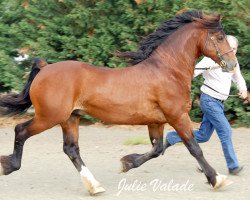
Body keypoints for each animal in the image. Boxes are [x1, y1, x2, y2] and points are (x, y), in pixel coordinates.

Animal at [0, 10, 237, 195]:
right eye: (219, 37)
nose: (232, 64)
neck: (169, 71)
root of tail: (45, 68)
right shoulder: (177, 116)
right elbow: (194, 148)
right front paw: (217, 179)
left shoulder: (157, 121)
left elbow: (157, 149)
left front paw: (127, 163)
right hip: (49, 117)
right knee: (21, 130)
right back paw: (9, 165)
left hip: (70, 118)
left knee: (71, 149)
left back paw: (95, 186)